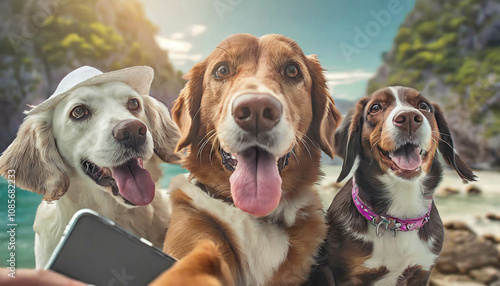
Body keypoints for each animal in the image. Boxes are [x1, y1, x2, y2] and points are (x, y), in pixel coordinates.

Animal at [308, 86, 476, 284]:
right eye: (375, 107)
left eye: (424, 106)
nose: (409, 118)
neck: (398, 220)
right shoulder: (345, 275)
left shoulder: (421, 272)